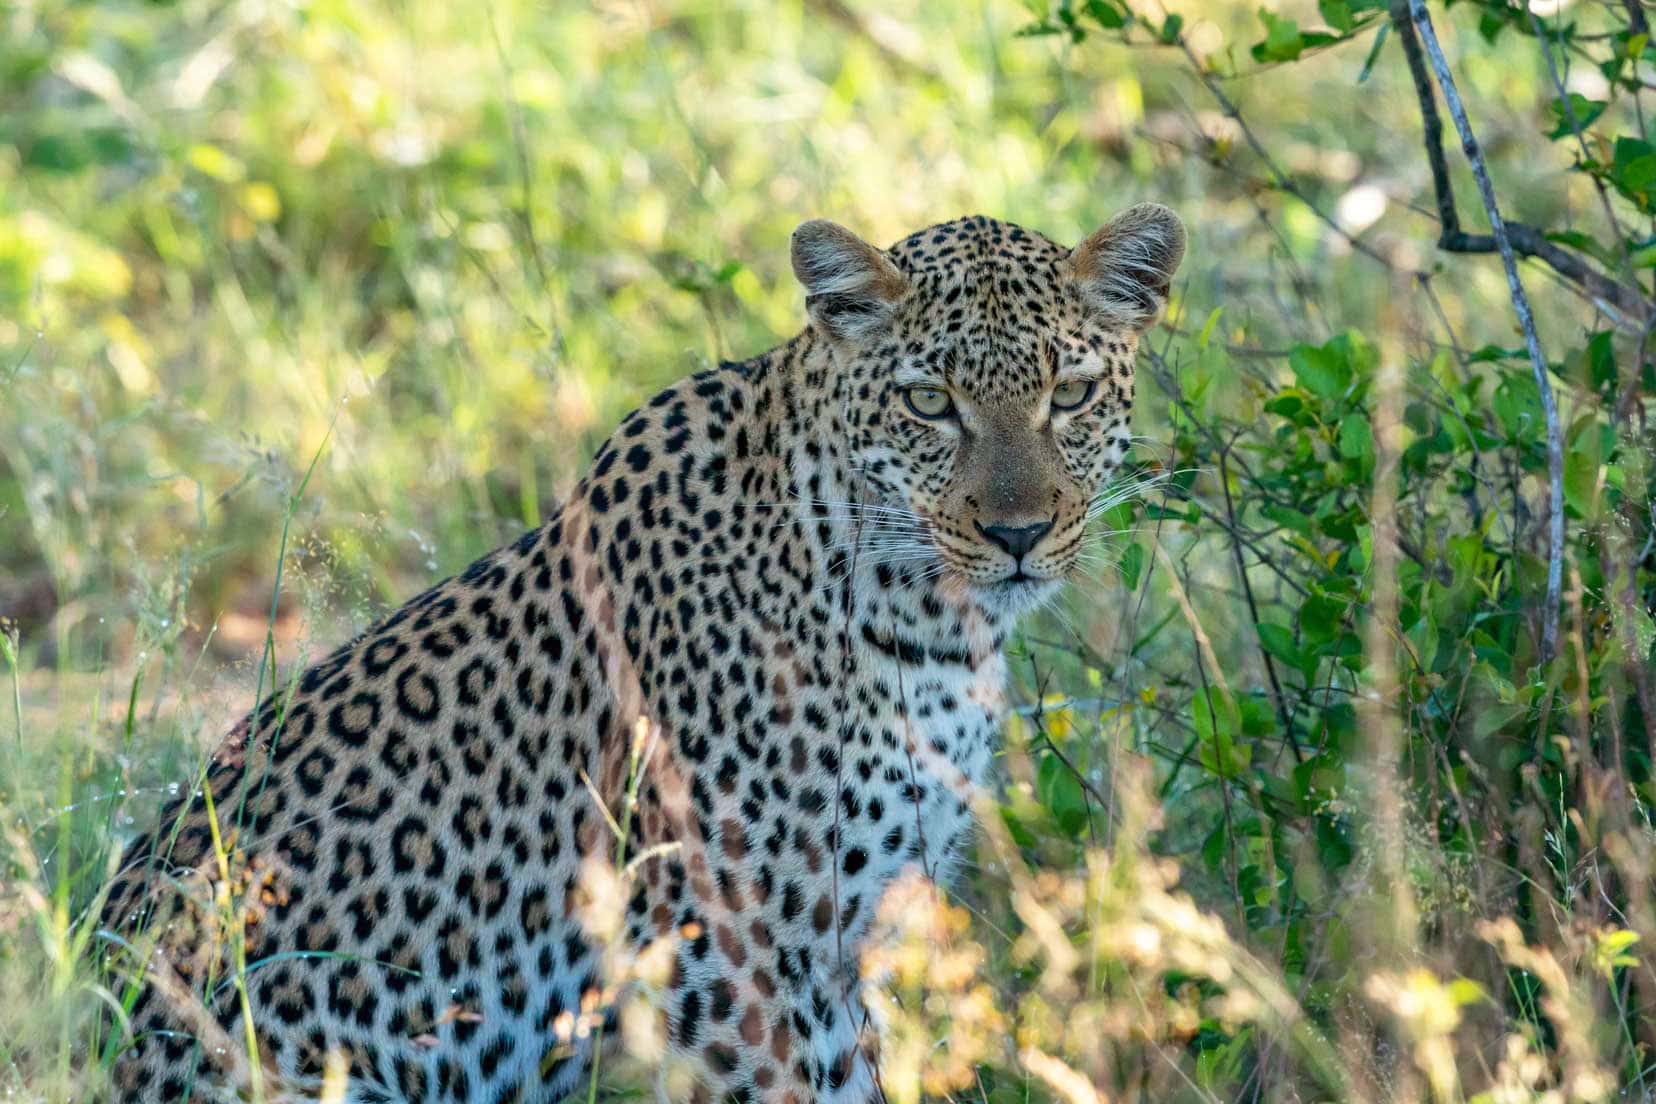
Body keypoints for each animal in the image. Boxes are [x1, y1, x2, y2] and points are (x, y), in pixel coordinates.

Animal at [100, 202, 1179, 1099]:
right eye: (928, 403)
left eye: (1072, 393)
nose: (1018, 533)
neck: (926, 625)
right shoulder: (729, 959)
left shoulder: (851, 942)